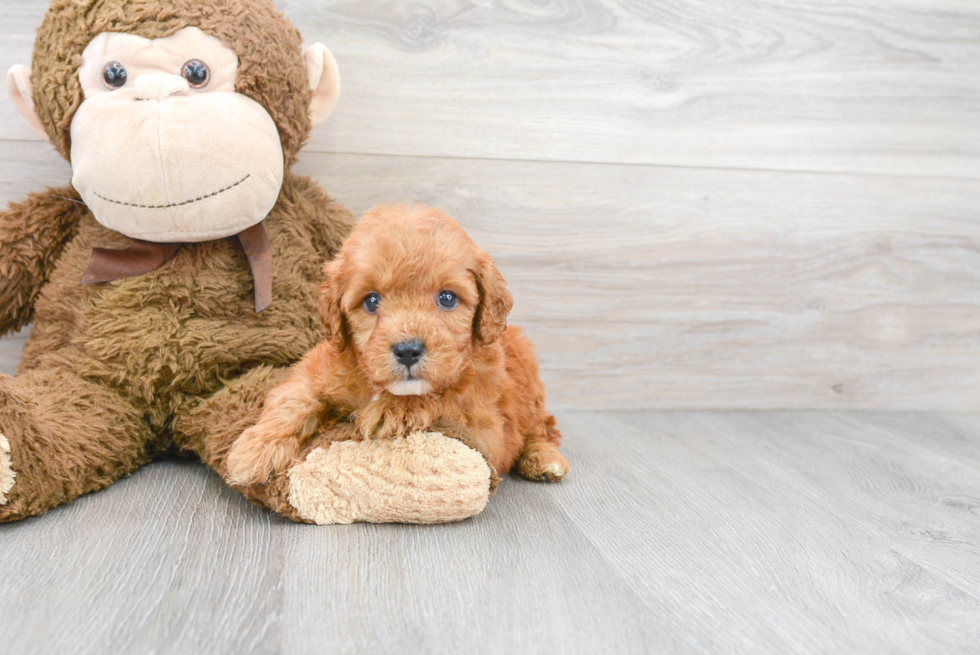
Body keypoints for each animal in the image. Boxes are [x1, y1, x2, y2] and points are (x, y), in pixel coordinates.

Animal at [227, 205, 572, 486]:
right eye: (371, 301)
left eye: (447, 298)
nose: (408, 350)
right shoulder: (316, 371)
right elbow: (294, 400)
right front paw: (253, 451)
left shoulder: (486, 430)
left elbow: (445, 400)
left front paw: (395, 409)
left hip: (530, 384)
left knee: (543, 428)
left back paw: (545, 459)